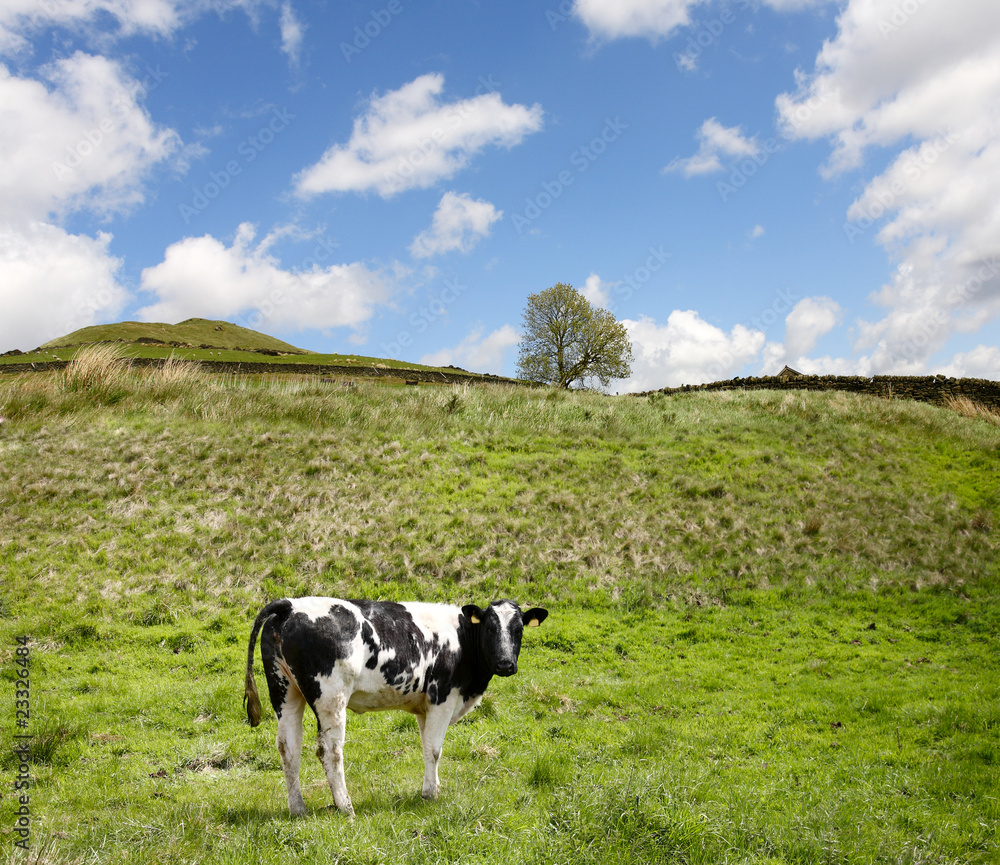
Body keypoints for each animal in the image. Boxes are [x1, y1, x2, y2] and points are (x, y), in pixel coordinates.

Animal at [243, 597, 548, 817]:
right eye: (490, 628)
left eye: (519, 629)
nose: (505, 664)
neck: (462, 639)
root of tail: (290, 605)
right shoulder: (442, 698)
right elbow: (435, 749)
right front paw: (430, 795)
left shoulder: (425, 706)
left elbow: (427, 747)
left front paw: (433, 787)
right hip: (331, 697)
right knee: (330, 751)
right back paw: (345, 806)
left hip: (284, 691)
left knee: (289, 748)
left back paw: (298, 809)